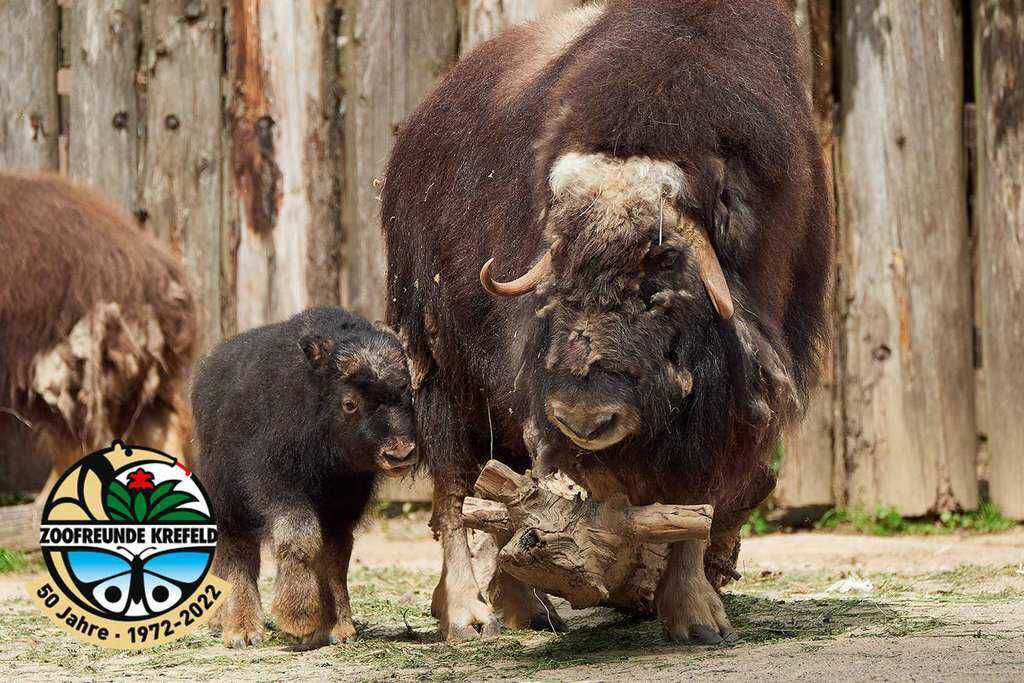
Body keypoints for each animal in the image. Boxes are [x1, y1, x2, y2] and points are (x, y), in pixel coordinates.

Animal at [192, 307, 415, 651]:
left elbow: (335, 557)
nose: (400, 453)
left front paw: (339, 628)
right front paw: (298, 620)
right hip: (229, 502)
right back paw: (242, 631)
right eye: (349, 403)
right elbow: (299, 538)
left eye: (408, 390)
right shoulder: (279, 485)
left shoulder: (342, 509)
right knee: (238, 552)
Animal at [382, 0, 831, 643]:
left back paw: (524, 607)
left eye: (660, 272)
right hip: (441, 366)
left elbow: (695, 501)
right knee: (456, 487)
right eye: (559, 270)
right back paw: (469, 613)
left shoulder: (725, 402)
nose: (585, 420)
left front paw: (696, 616)